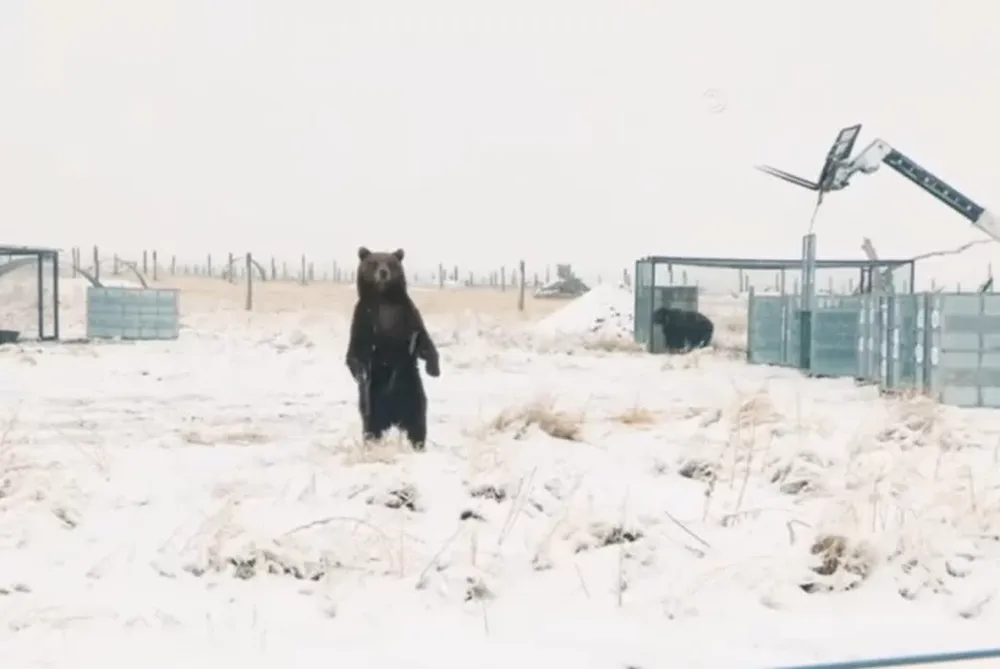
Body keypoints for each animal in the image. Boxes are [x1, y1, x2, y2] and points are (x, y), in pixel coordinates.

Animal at [345, 246, 440, 450]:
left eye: (390, 262)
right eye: (374, 262)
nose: (383, 272)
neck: (384, 299)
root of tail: (394, 417)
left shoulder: (406, 314)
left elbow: (423, 341)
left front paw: (434, 369)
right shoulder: (364, 318)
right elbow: (356, 349)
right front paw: (360, 373)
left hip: (412, 392)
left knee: (418, 422)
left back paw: (418, 446)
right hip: (373, 403)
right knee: (371, 425)